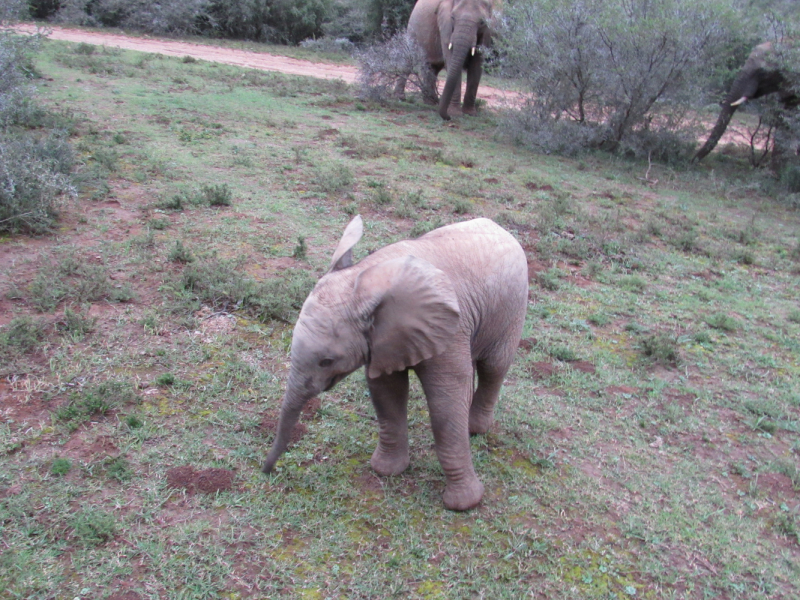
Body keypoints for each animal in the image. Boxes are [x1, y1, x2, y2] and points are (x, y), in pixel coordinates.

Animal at [260, 216, 528, 510]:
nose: (266, 471)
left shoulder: (450, 328)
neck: (367, 274)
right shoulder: (380, 341)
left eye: (326, 361)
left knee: (494, 367)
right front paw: (386, 471)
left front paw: (464, 505)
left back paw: (475, 429)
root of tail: (497, 225)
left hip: (512, 308)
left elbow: (445, 405)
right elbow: (387, 393)